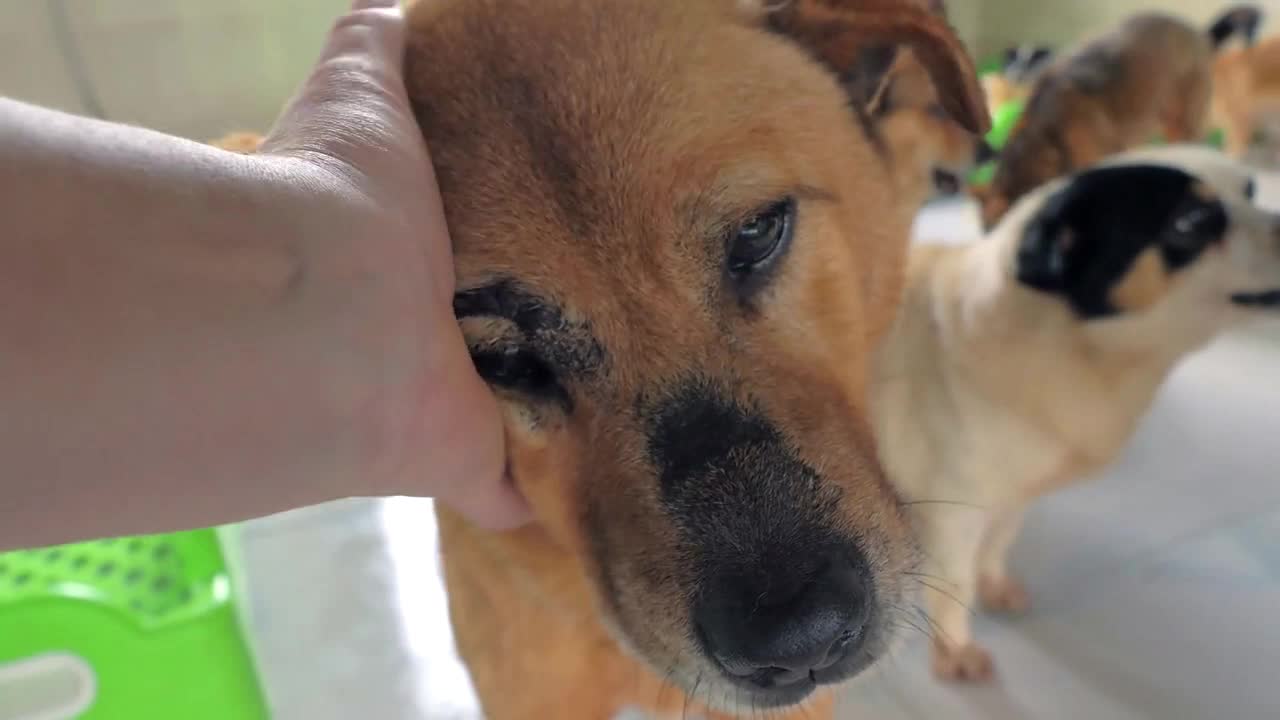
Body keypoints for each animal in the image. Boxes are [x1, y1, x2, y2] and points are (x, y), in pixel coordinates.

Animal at [875, 144, 1274, 676]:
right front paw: (956, 651)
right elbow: (956, 586)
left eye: (1251, 191)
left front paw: (995, 585)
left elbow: (997, 546)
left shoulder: (1012, 496)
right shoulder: (953, 516)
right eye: (1190, 222)